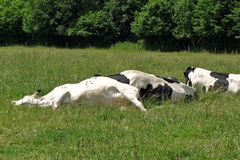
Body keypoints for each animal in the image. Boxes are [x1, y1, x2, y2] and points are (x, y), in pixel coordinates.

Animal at [11, 76, 146, 111]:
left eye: (25, 100)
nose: (14, 103)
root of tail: (135, 89)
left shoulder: (65, 90)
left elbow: (56, 103)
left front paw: (55, 107)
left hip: (128, 94)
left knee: (142, 107)